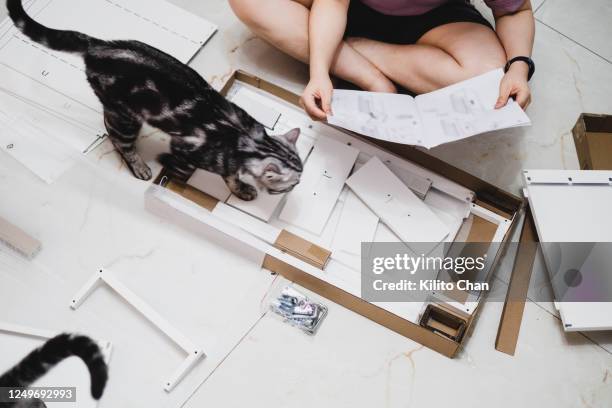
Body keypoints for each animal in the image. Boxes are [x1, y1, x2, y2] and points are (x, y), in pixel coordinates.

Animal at [7, 0, 304, 201]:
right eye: (292, 183)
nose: (295, 188)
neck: (248, 142)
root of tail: (98, 44)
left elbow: (230, 176)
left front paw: (240, 189)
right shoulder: (186, 146)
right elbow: (182, 166)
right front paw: (169, 168)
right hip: (126, 116)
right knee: (117, 138)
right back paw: (138, 165)